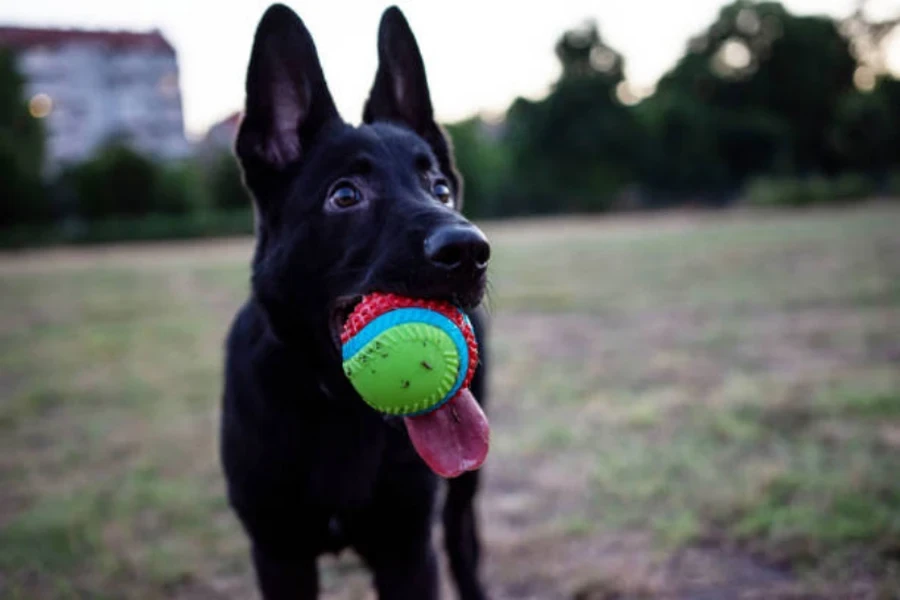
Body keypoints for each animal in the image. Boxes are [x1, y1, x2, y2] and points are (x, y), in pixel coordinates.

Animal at [223, 5, 492, 600]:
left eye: (440, 188)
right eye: (344, 195)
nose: (469, 251)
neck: (337, 408)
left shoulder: (407, 551)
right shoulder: (278, 554)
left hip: (462, 487)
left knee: (463, 540)